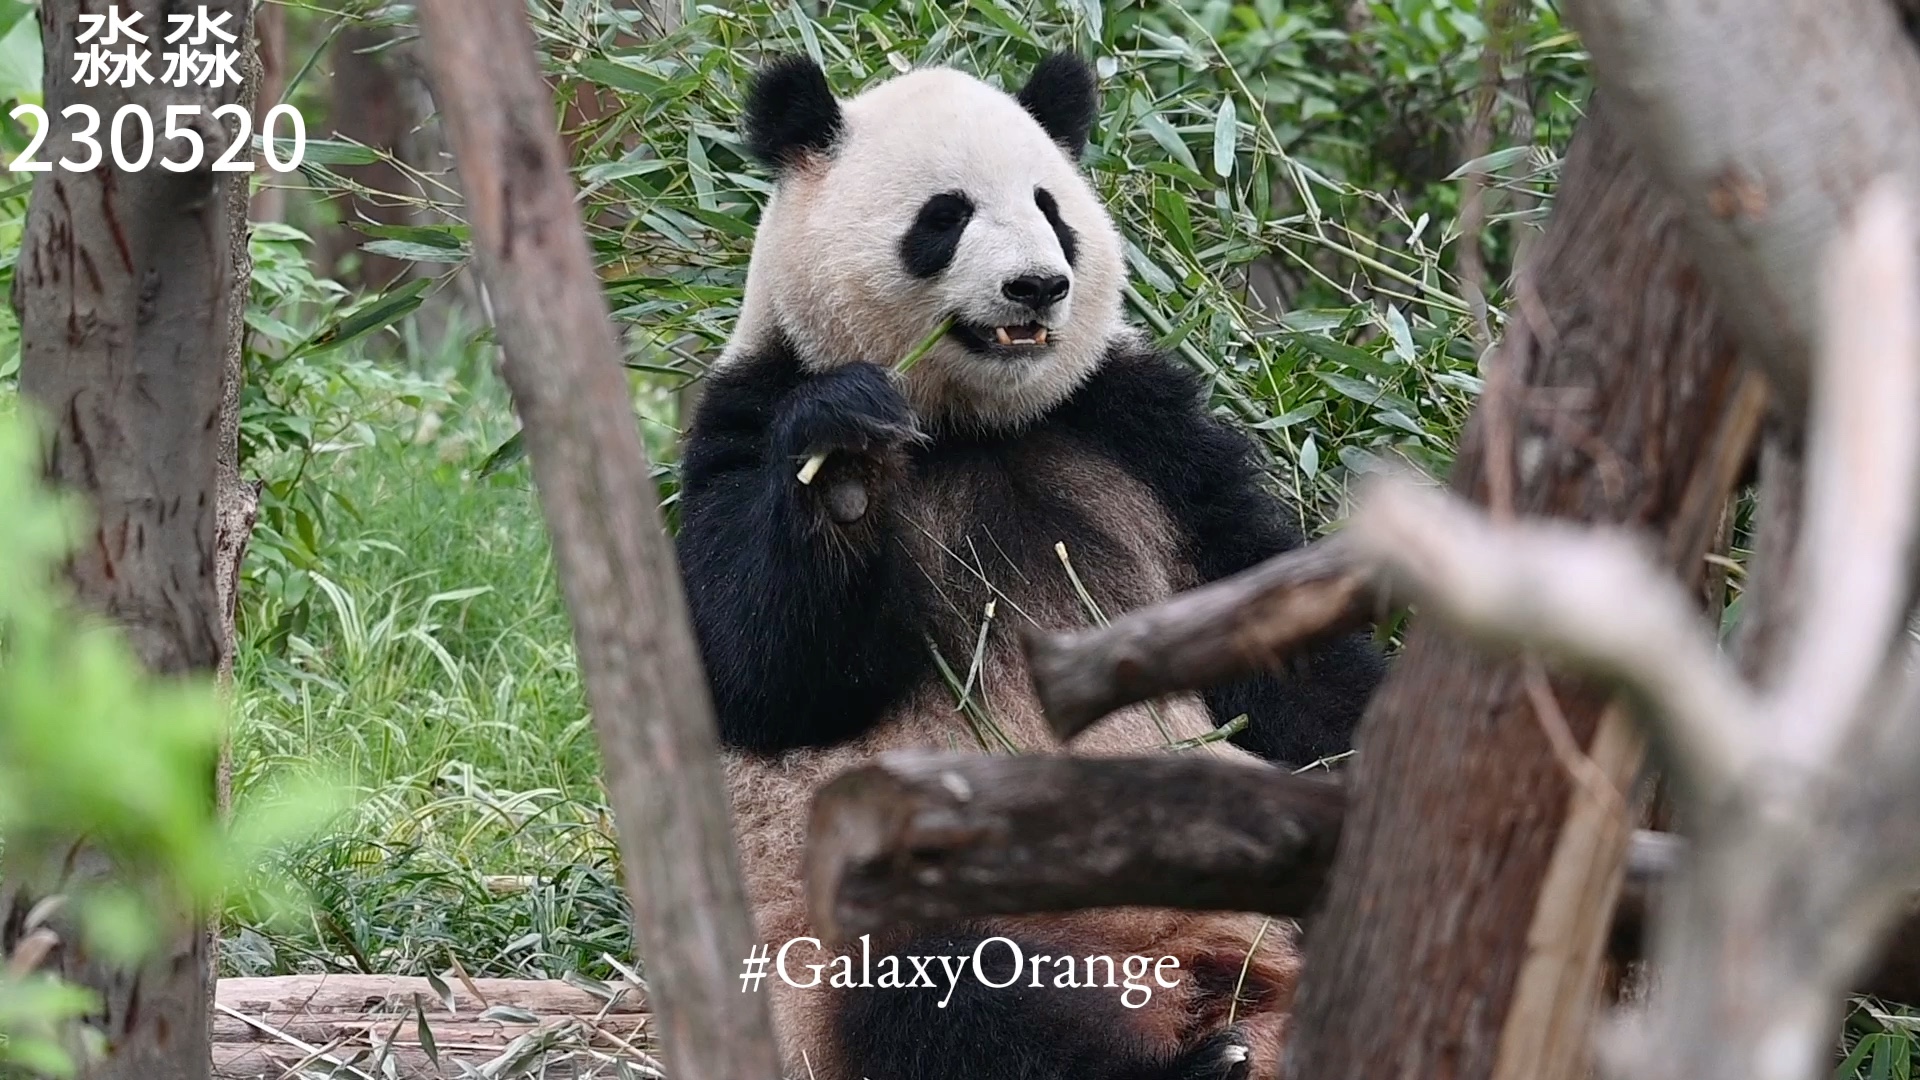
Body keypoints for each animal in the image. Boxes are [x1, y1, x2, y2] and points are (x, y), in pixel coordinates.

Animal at [672, 48, 1382, 1076]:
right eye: (945, 216)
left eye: (1052, 208)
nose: (1038, 286)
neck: (974, 425)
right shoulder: (747, 414)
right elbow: (750, 667)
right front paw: (845, 465)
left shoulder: (1136, 430)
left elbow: (1276, 640)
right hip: (860, 942)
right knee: (948, 997)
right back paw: (1195, 1061)